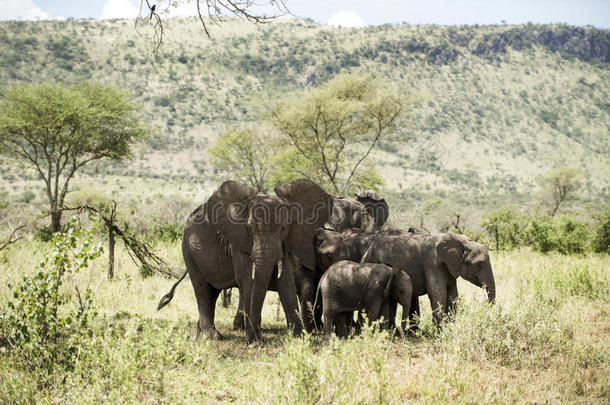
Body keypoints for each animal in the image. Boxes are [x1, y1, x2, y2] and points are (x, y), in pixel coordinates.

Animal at [154, 178, 330, 342]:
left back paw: (203, 333)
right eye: (250, 228)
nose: (255, 338)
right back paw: (212, 336)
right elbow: (247, 281)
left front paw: (299, 339)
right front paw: (254, 342)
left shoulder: (286, 243)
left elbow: (285, 281)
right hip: (188, 249)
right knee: (201, 287)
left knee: (213, 291)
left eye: (283, 228)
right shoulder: (238, 241)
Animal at [360, 232, 494, 326]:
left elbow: (453, 295)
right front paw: (439, 334)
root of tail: (366, 252)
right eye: (479, 265)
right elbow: (438, 293)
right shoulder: (433, 263)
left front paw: (449, 329)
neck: (463, 242)